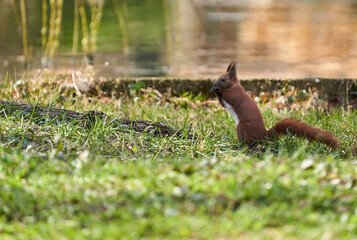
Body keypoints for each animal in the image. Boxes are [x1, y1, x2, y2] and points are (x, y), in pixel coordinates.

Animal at [211, 60, 340, 150]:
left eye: (223, 79)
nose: (214, 83)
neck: (233, 85)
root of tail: (263, 135)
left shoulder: (236, 94)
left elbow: (229, 97)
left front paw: (217, 90)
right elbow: (223, 103)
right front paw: (214, 90)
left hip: (242, 127)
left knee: (249, 144)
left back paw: (239, 146)